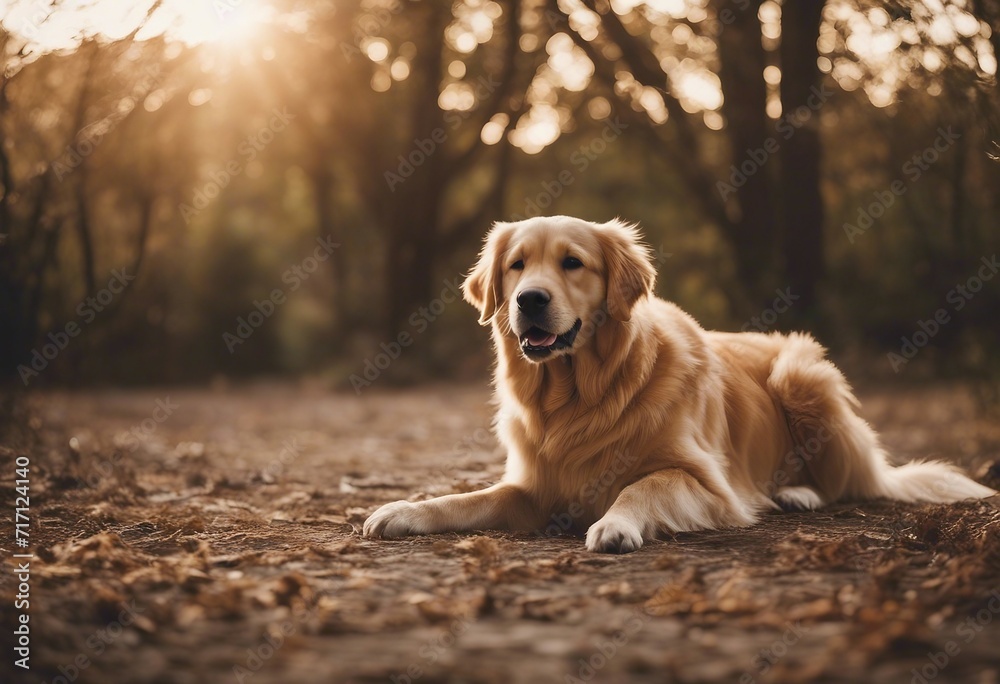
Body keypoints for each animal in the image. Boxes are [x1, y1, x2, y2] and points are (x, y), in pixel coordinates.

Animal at [364, 216, 996, 552]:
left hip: (803, 377)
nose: (529, 300)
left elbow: (641, 487)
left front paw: (614, 523)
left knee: (850, 483)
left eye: (572, 263)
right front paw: (404, 510)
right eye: (516, 264)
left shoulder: (705, 483)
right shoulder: (533, 487)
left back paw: (796, 493)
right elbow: (467, 498)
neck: (581, 396)